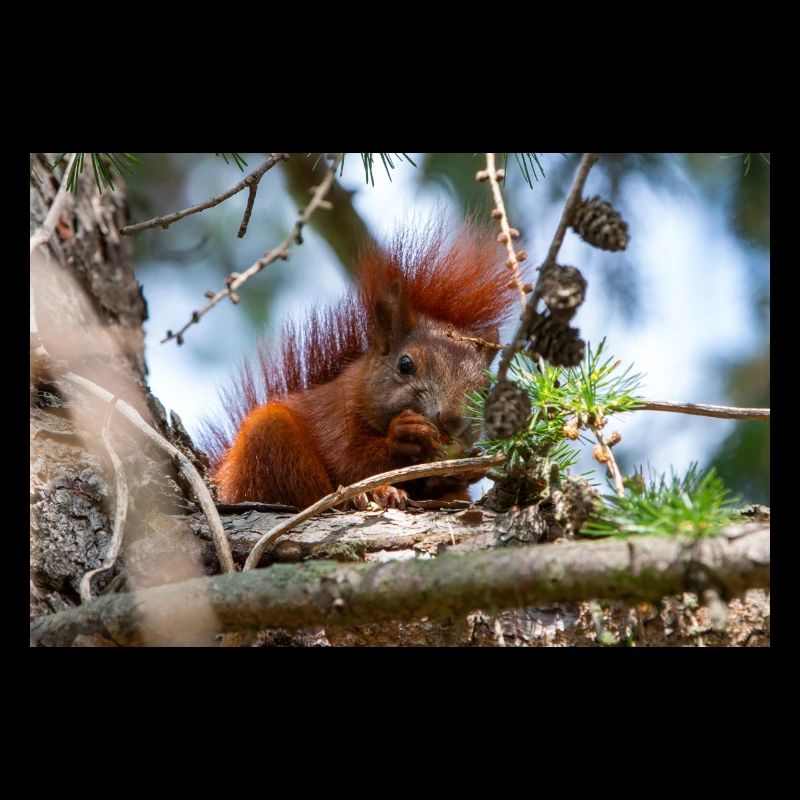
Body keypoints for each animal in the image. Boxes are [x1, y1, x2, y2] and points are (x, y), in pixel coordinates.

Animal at [201, 220, 522, 510]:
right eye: (405, 365)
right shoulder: (334, 418)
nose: (452, 419)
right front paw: (404, 435)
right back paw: (367, 495)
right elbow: (351, 462)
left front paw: (469, 467)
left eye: (485, 389)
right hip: (268, 442)